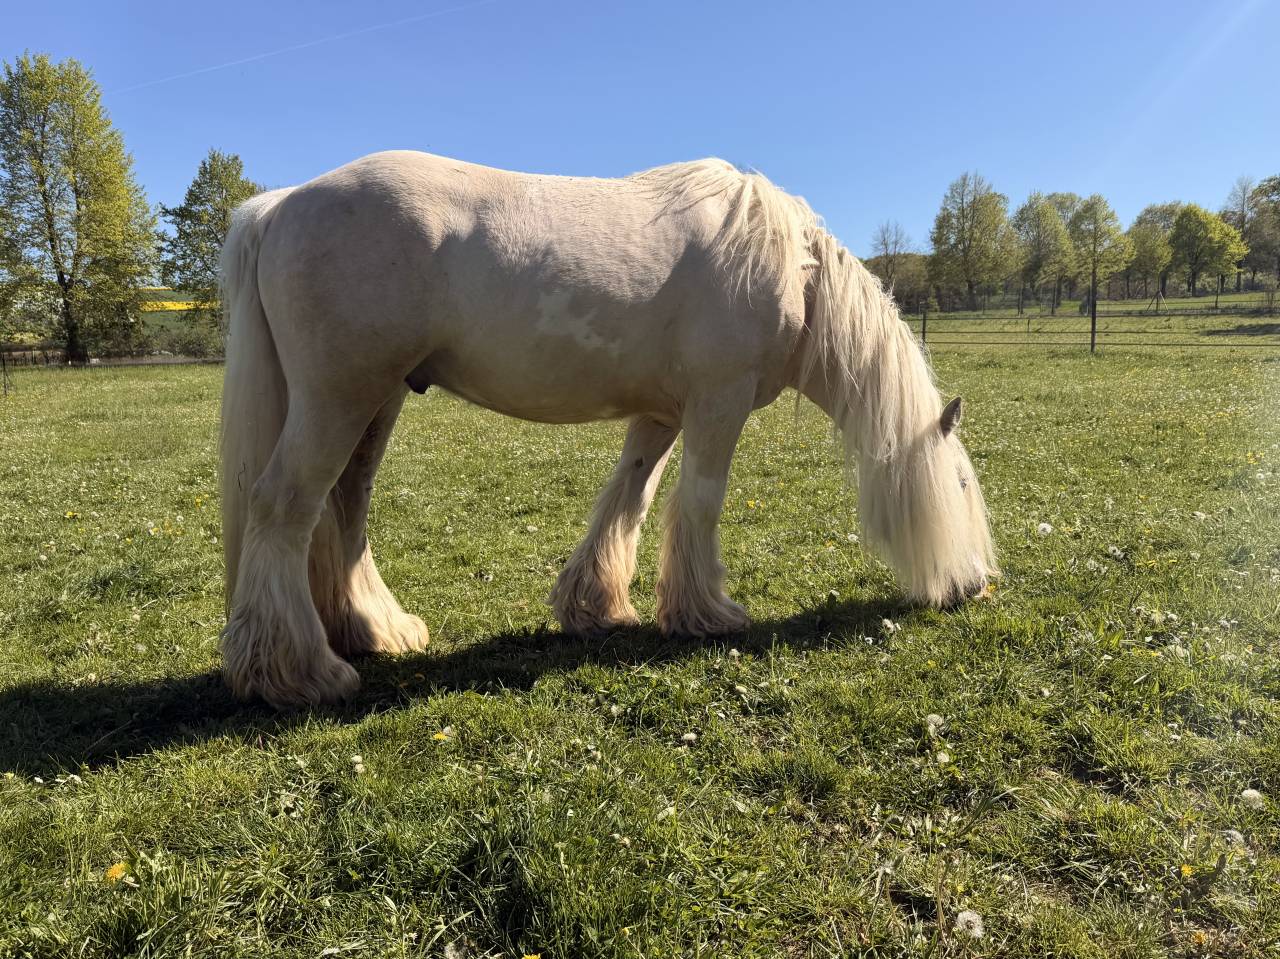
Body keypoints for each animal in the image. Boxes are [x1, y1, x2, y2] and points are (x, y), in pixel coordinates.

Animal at [219, 151, 997, 708]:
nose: (976, 586)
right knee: (284, 506)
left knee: (345, 508)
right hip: (339, 399)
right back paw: (300, 671)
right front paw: (708, 612)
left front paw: (596, 606)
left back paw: (375, 630)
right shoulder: (719, 402)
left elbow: (629, 500)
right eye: (961, 485)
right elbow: (700, 502)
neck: (790, 267)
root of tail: (281, 203)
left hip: (375, 402)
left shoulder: (660, 414)